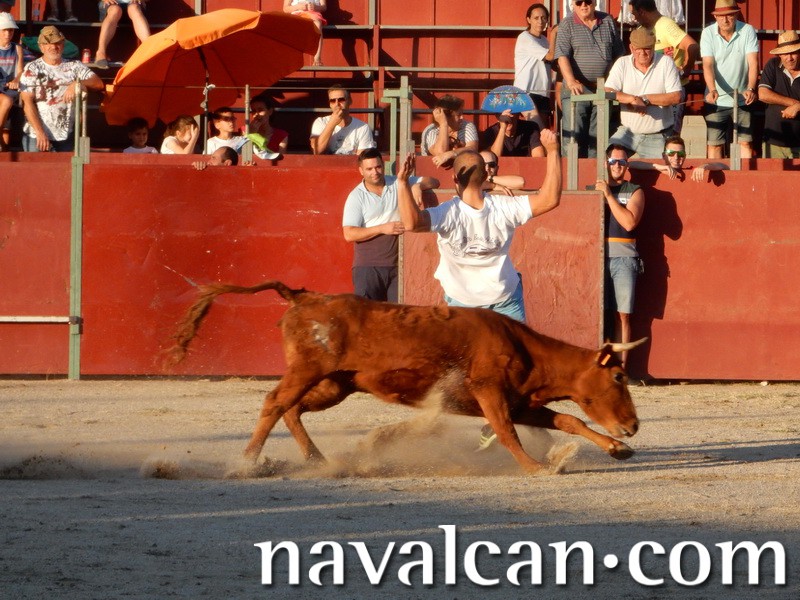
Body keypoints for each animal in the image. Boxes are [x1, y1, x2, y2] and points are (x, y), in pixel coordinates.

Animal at [171, 280, 646, 474]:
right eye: (619, 376)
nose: (634, 425)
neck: (524, 348)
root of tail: (304, 298)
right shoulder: (490, 393)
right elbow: (507, 432)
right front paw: (535, 467)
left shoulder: (520, 401)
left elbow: (569, 420)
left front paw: (616, 449)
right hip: (309, 370)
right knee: (274, 403)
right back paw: (248, 462)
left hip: (334, 384)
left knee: (292, 408)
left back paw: (318, 459)